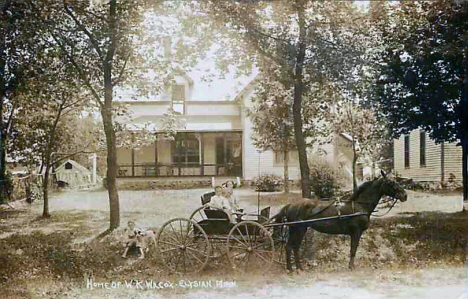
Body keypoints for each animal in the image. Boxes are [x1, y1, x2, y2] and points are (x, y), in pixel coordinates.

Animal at [272, 170, 408, 274]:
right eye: (390, 182)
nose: (405, 195)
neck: (359, 205)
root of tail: (290, 205)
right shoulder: (356, 232)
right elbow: (353, 250)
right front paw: (351, 267)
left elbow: (353, 249)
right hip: (297, 228)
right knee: (290, 246)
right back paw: (290, 269)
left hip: (301, 229)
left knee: (294, 247)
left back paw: (299, 268)